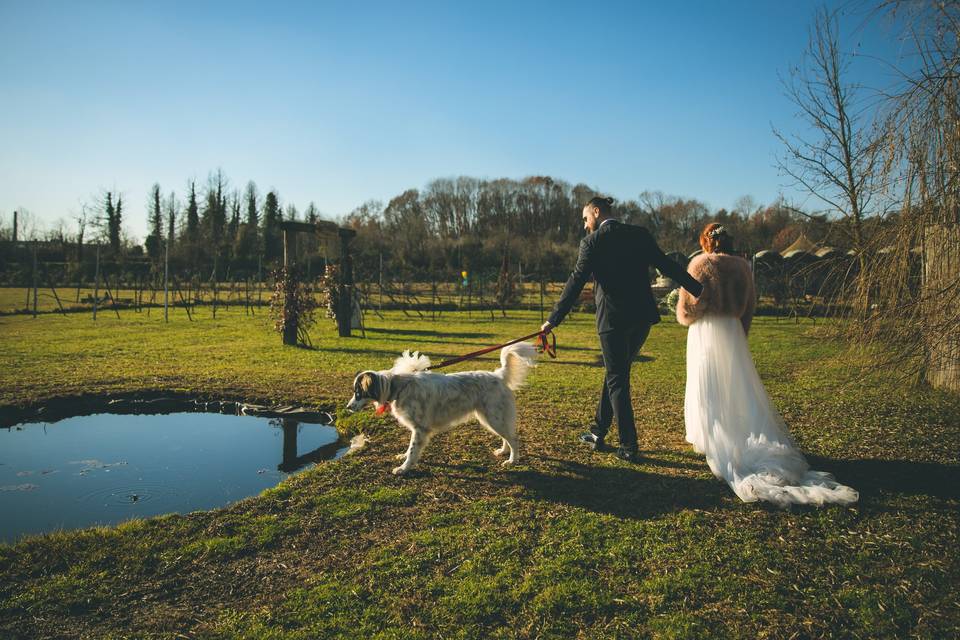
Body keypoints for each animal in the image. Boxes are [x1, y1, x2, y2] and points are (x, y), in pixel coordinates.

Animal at [346, 344, 540, 476]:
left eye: (358, 392)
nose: (347, 408)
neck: (398, 386)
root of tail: (498, 375)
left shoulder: (420, 429)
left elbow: (413, 450)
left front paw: (404, 468)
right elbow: (409, 449)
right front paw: (403, 457)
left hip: (494, 418)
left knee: (514, 438)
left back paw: (512, 460)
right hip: (492, 418)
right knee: (507, 436)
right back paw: (503, 452)